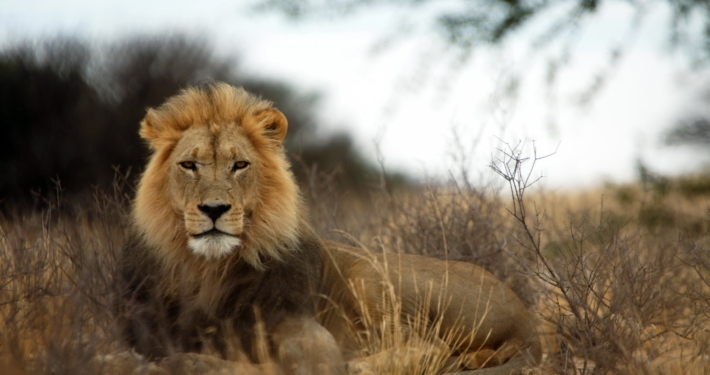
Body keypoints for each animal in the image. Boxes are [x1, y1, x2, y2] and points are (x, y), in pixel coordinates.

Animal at [119, 83, 544, 375]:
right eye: (189, 165)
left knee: (431, 345)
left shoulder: (311, 336)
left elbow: (288, 363)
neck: (211, 269)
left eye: (240, 165)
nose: (213, 209)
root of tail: (526, 319)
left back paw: (361, 365)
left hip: (369, 272)